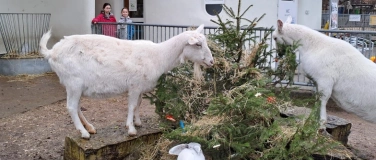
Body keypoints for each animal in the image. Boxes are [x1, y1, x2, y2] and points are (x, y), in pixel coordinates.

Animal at [40, 24, 214, 139]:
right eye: (198, 44)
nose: (212, 62)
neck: (158, 56)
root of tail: (51, 52)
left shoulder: (140, 87)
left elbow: (138, 105)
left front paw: (137, 122)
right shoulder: (134, 85)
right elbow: (131, 106)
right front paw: (131, 128)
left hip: (77, 86)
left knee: (76, 107)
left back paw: (89, 128)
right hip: (73, 82)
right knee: (71, 107)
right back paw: (83, 133)